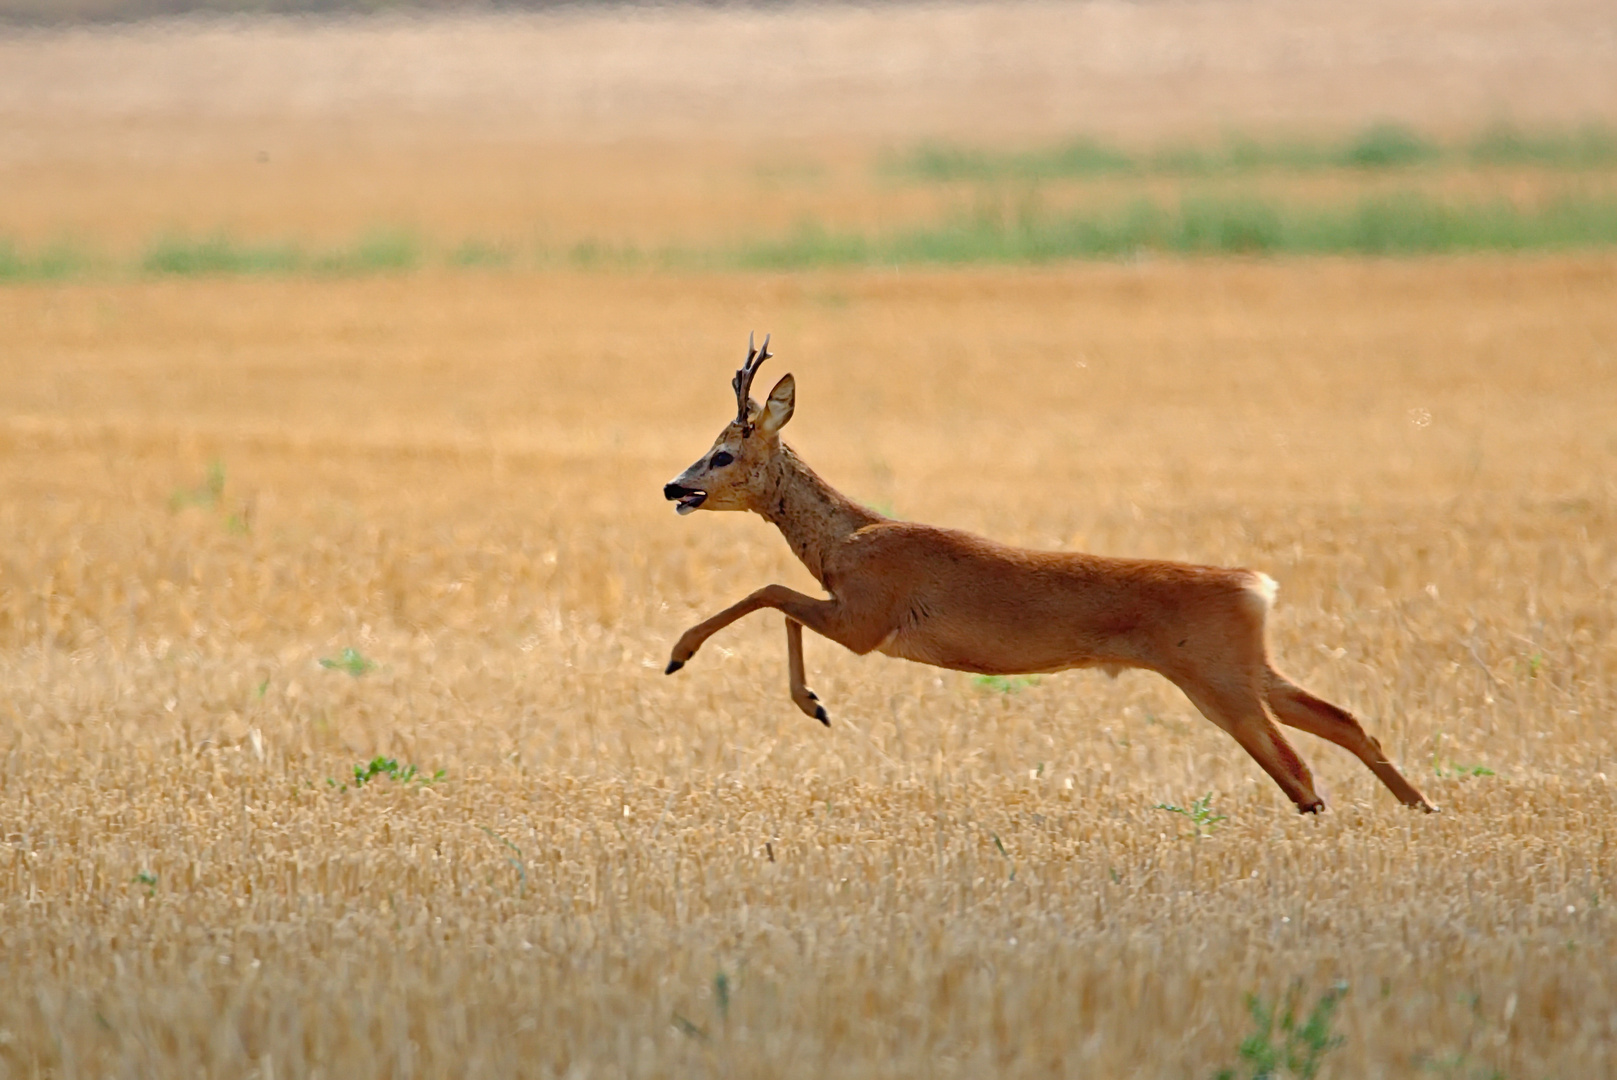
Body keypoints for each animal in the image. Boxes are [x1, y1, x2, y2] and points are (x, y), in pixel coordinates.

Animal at [662, 333, 1435, 814]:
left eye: (723, 453)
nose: (675, 486)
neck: (846, 537)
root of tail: (1256, 587)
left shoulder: (866, 619)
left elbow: (768, 594)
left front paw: (686, 658)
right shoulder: (852, 615)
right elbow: (774, 598)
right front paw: (812, 702)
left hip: (1217, 679)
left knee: (1300, 772)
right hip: (1246, 667)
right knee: (1342, 721)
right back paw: (1420, 807)